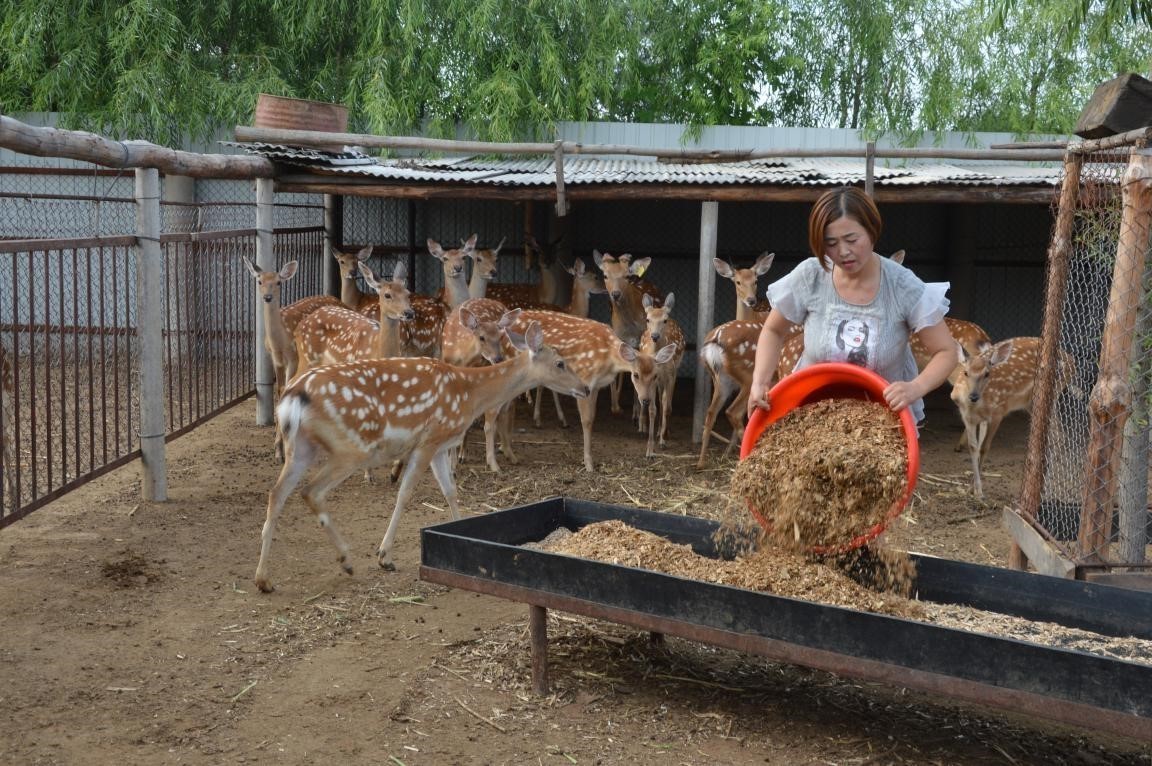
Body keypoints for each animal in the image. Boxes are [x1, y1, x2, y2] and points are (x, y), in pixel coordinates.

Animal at [256, 317, 589, 589]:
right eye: (561, 363)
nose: (585, 388)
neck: (469, 395)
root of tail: (293, 397)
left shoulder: (441, 446)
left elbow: (450, 491)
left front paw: (461, 533)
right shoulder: (429, 439)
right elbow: (405, 493)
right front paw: (384, 556)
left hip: (301, 447)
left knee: (276, 493)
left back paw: (264, 579)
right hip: (350, 447)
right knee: (310, 491)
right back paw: (347, 561)